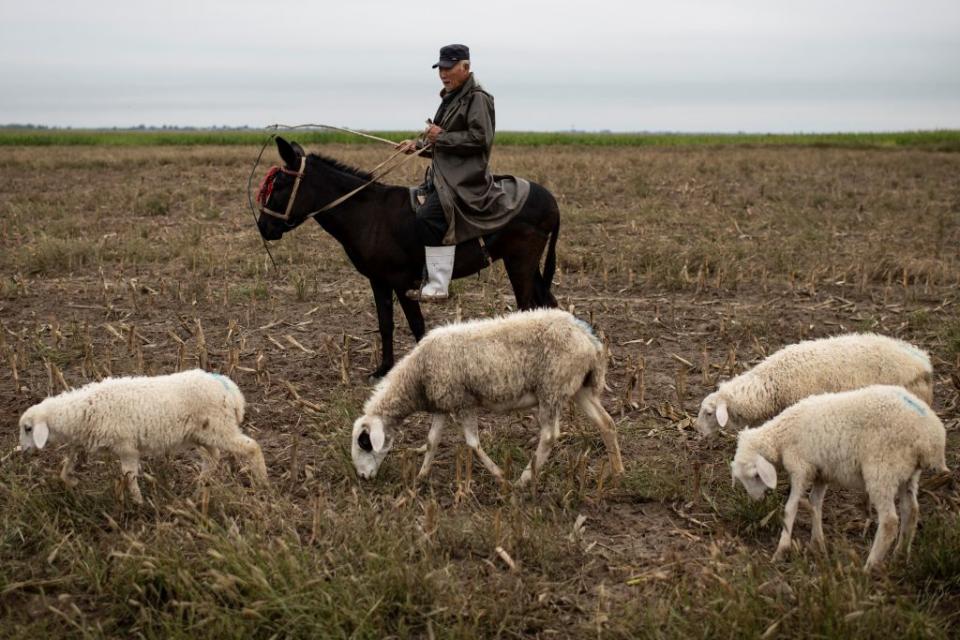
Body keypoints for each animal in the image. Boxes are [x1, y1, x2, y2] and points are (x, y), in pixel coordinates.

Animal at [15, 370, 270, 504]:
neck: (81, 412)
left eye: (28, 428)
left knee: (251, 447)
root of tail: (230, 388)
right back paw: (200, 488)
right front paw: (71, 481)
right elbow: (67, 465)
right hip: (204, 434)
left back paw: (262, 482)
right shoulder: (82, 444)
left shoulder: (127, 447)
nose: (22, 452)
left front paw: (138, 503)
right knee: (213, 457)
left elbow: (128, 476)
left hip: (220, 427)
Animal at [348, 310, 628, 484]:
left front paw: (499, 475)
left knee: (549, 436)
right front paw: (421, 476)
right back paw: (617, 472)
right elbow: (431, 441)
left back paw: (523, 481)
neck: (417, 376)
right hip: (578, 386)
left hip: (551, 388)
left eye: (364, 443)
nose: (362, 477)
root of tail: (589, 338)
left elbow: (472, 443)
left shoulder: (462, 402)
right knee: (606, 423)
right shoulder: (444, 403)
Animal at [736, 384, 944, 568]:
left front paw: (781, 550)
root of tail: (931, 438)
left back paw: (869, 566)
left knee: (890, 521)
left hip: (882, 470)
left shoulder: (801, 468)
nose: (755, 500)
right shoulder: (821, 473)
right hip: (907, 473)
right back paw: (900, 556)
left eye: (755, 475)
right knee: (911, 510)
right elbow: (815, 503)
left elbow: (791, 507)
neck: (782, 436)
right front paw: (817, 543)